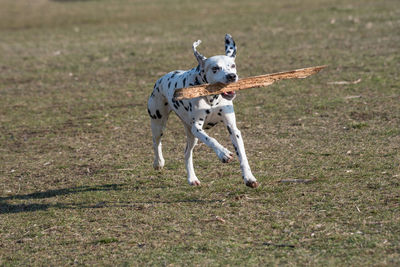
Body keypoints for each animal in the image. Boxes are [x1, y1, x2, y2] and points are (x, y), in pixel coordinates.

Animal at [147, 34, 260, 188]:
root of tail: (161, 79)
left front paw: (249, 178)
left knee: (187, 153)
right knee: (156, 142)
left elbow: (242, 155)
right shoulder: (197, 128)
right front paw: (223, 153)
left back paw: (192, 178)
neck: (213, 98)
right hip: (159, 122)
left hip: (191, 135)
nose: (231, 76)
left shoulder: (233, 129)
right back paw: (158, 162)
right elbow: (211, 139)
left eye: (233, 65)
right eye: (215, 68)